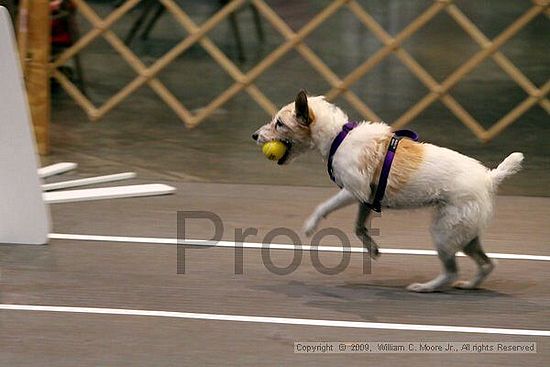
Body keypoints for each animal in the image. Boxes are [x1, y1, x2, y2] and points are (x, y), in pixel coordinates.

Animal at [254, 91, 528, 294]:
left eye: (279, 123)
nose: (254, 135)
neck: (339, 137)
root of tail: (489, 177)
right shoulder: (365, 199)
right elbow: (358, 227)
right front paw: (371, 248)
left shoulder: (353, 190)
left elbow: (323, 207)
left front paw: (311, 225)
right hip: (466, 234)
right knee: (487, 264)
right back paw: (470, 285)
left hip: (444, 231)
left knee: (452, 270)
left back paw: (426, 287)